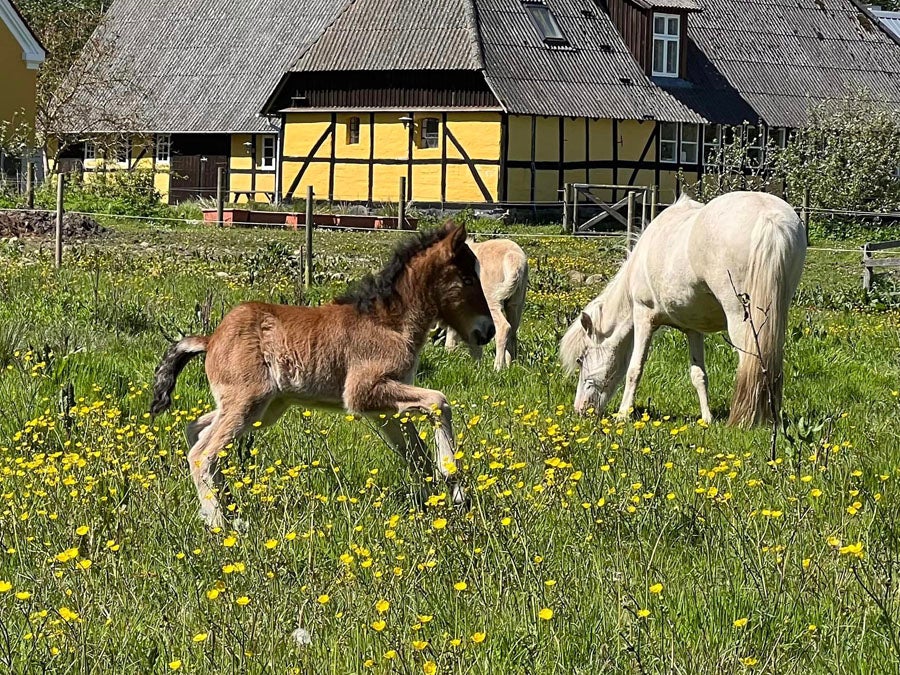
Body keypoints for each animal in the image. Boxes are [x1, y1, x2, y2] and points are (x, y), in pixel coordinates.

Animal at [151, 224, 496, 532]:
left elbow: (417, 455)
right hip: (247, 402)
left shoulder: (384, 410)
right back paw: (219, 524)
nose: (488, 330)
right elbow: (439, 401)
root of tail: (212, 338)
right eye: (467, 278)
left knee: (195, 430)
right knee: (203, 454)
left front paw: (440, 503)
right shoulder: (363, 392)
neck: (388, 323)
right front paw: (452, 478)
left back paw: (228, 510)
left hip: (264, 407)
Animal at [442, 238, 528, 372]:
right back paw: (510, 366)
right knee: (513, 332)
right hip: (516, 302)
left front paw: (448, 354)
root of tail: (514, 258)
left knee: (503, 327)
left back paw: (498, 367)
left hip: (491, 299)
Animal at [560, 190, 804, 428]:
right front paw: (707, 419)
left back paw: (745, 419)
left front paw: (622, 415)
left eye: (581, 359)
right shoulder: (693, 329)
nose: (580, 410)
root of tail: (769, 218)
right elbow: (698, 375)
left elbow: (634, 369)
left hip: (741, 319)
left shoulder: (643, 317)